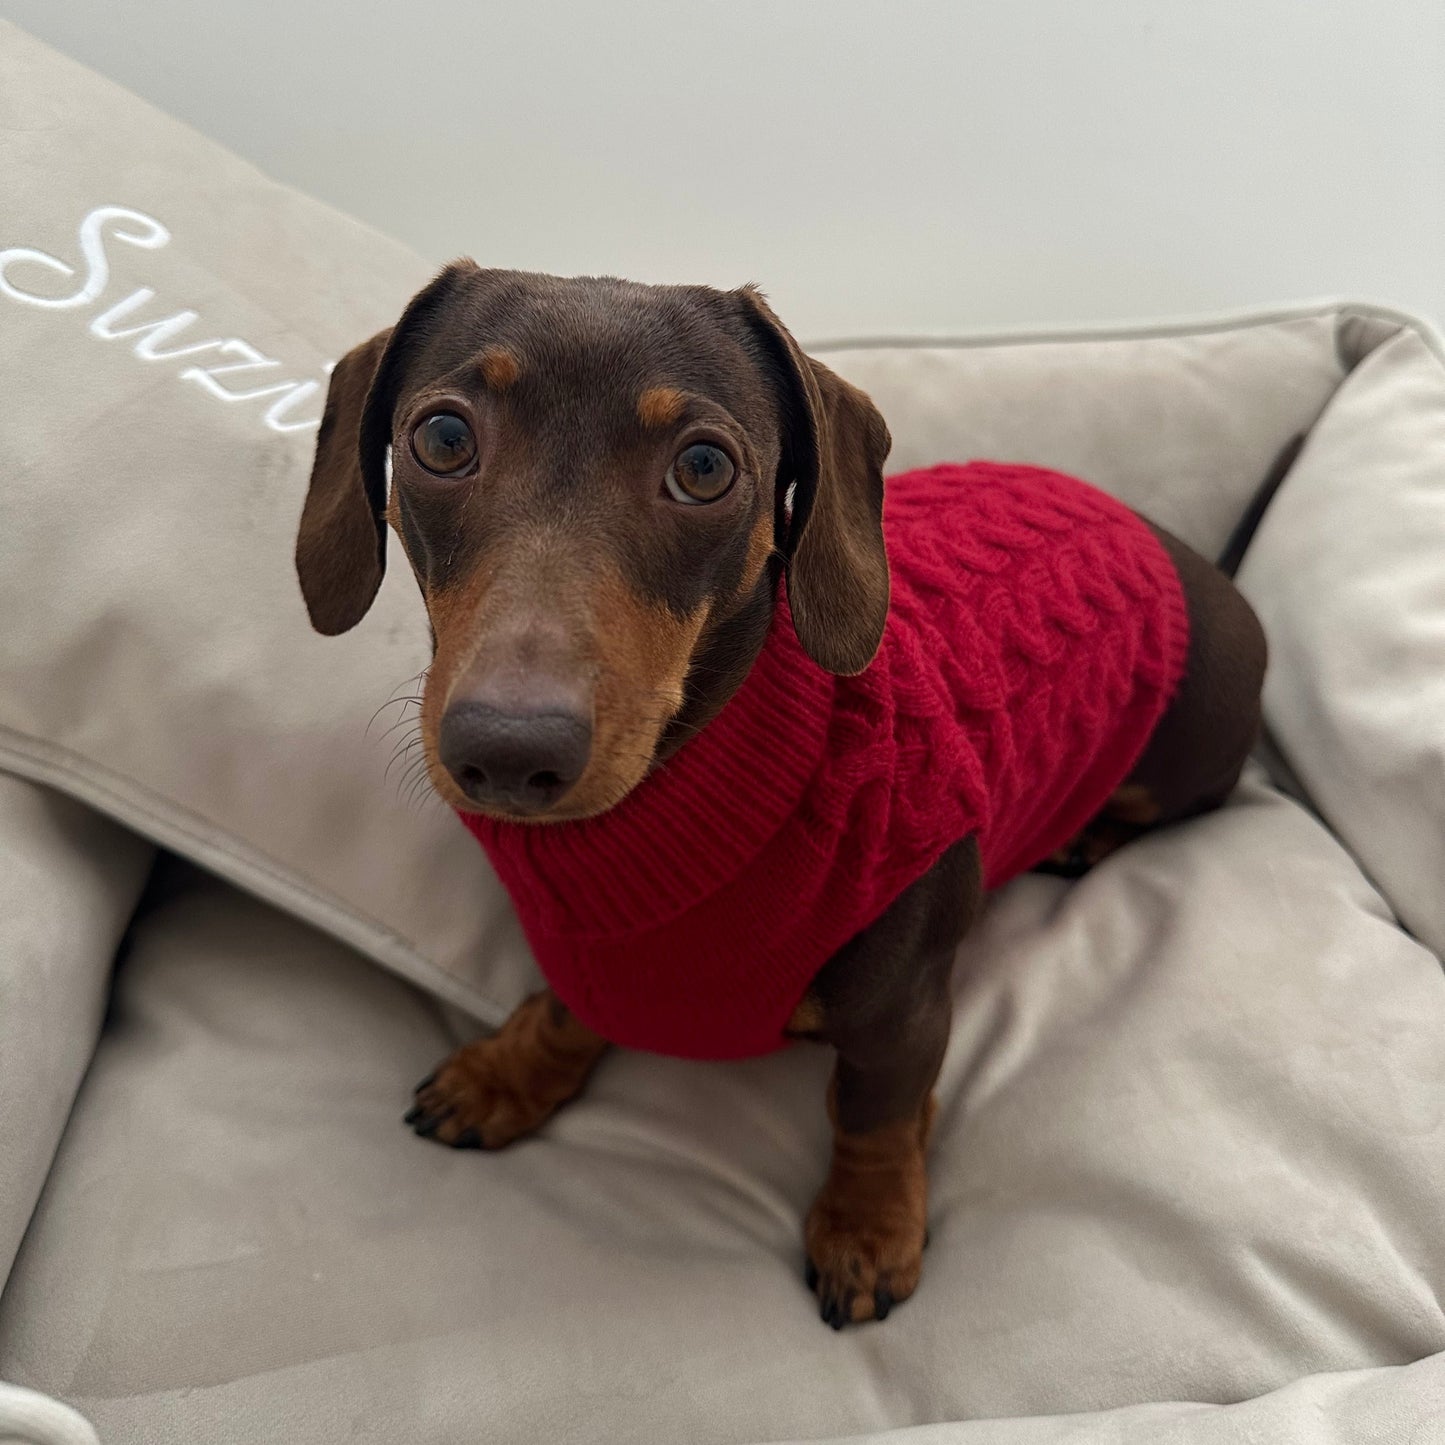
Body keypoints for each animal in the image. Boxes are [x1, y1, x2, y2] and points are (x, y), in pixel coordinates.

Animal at [293, 265, 1265, 1323]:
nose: (508, 752)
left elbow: (875, 1116)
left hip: (1189, 751)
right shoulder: (592, 957)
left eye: (703, 466)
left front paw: (867, 1229)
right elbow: (562, 1009)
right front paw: (506, 1072)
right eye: (441, 439)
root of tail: (1182, 548)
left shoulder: (905, 1012)